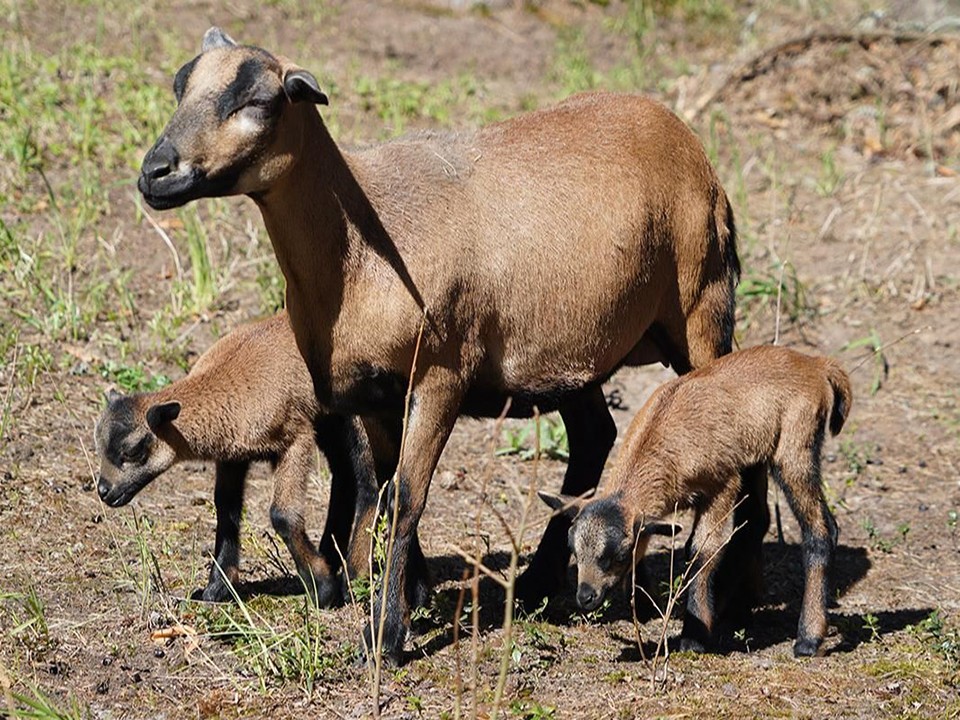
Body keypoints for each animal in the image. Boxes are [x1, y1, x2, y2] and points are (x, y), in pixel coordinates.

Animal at [93, 314, 424, 608]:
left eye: (133, 450)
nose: (104, 491)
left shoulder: (295, 436)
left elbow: (282, 515)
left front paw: (323, 589)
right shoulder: (232, 456)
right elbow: (226, 510)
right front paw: (216, 589)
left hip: (360, 417)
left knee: (372, 485)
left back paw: (352, 581)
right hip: (333, 421)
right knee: (350, 477)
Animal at [137, 25, 764, 660]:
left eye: (259, 101)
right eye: (180, 84)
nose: (155, 172)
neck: (356, 251)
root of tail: (683, 135)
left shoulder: (440, 376)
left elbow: (405, 497)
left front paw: (385, 635)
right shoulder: (377, 395)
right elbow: (385, 487)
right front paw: (410, 598)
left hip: (700, 307)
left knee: (738, 448)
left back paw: (720, 610)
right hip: (569, 351)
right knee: (594, 436)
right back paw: (537, 584)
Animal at [544, 344, 852, 660]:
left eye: (619, 555)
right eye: (573, 550)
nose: (585, 597)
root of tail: (817, 364)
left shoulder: (722, 484)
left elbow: (701, 549)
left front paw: (693, 638)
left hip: (795, 446)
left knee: (820, 531)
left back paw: (808, 639)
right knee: (766, 522)